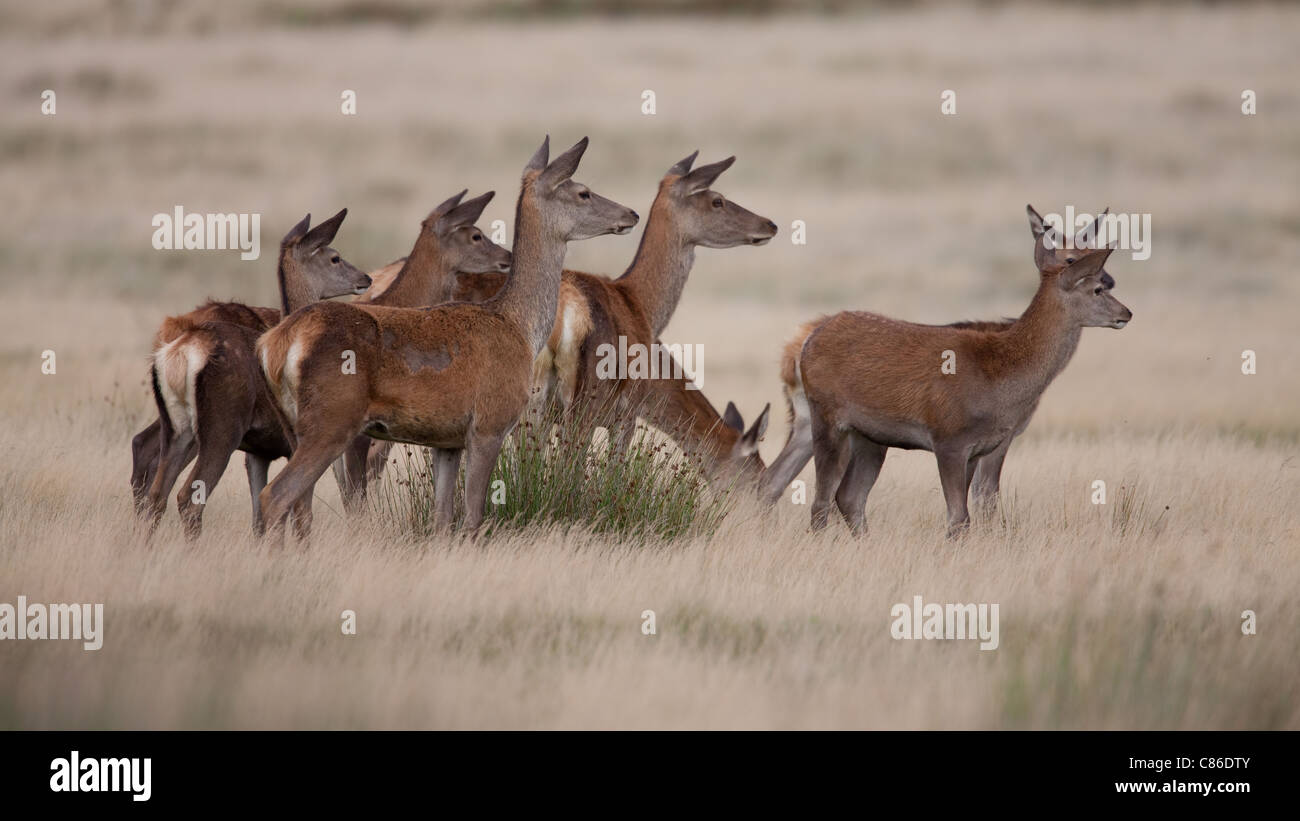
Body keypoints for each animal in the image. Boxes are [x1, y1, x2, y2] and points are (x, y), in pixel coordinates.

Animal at [144, 207, 374, 535]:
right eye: (334, 257)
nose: (365, 277)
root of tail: (180, 353)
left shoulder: (258, 451)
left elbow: (258, 518)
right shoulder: (292, 443)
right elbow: (300, 512)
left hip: (176, 428)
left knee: (156, 496)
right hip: (222, 428)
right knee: (188, 498)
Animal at [253, 136, 639, 537]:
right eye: (583, 192)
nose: (631, 214)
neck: (518, 326)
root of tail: (275, 345)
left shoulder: (445, 440)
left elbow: (441, 519)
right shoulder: (489, 423)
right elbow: (472, 518)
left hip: (293, 423)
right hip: (332, 419)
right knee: (276, 496)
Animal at [759, 203, 1118, 514]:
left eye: (1093, 251)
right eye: (1071, 259)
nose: (1110, 282)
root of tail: (798, 344)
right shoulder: (995, 438)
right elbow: (984, 498)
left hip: (824, 424)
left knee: (788, 483)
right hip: (829, 420)